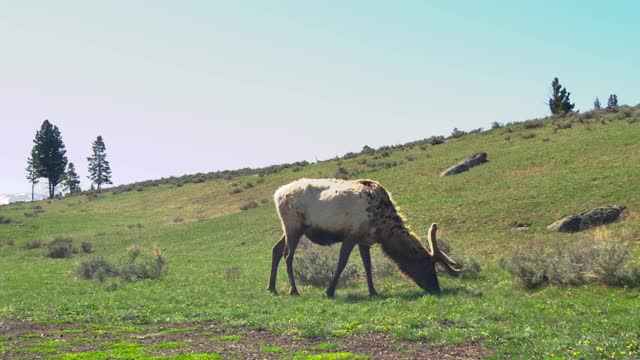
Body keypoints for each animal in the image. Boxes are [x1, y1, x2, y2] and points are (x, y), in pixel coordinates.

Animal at [266, 178, 460, 298]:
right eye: (427, 265)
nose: (436, 288)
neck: (383, 227)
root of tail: (276, 194)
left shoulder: (364, 239)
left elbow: (368, 265)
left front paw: (373, 291)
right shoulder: (351, 234)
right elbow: (342, 263)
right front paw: (329, 291)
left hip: (289, 228)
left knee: (276, 249)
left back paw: (272, 288)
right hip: (294, 226)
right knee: (287, 255)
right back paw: (293, 290)